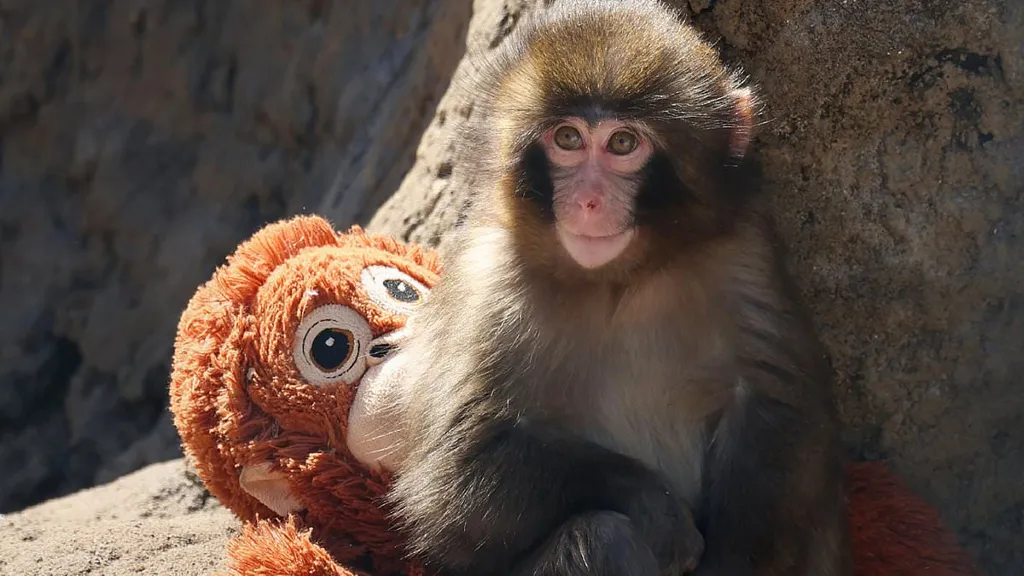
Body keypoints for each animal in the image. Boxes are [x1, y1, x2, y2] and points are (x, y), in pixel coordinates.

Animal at [383, 1, 853, 575]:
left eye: (623, 143)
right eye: (567, 139)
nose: (588, 200)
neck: (618, 280)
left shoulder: (744, 254)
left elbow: (778, 412)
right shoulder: (488, 282)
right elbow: (454, 480)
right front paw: (654, 505)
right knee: (601, 537)